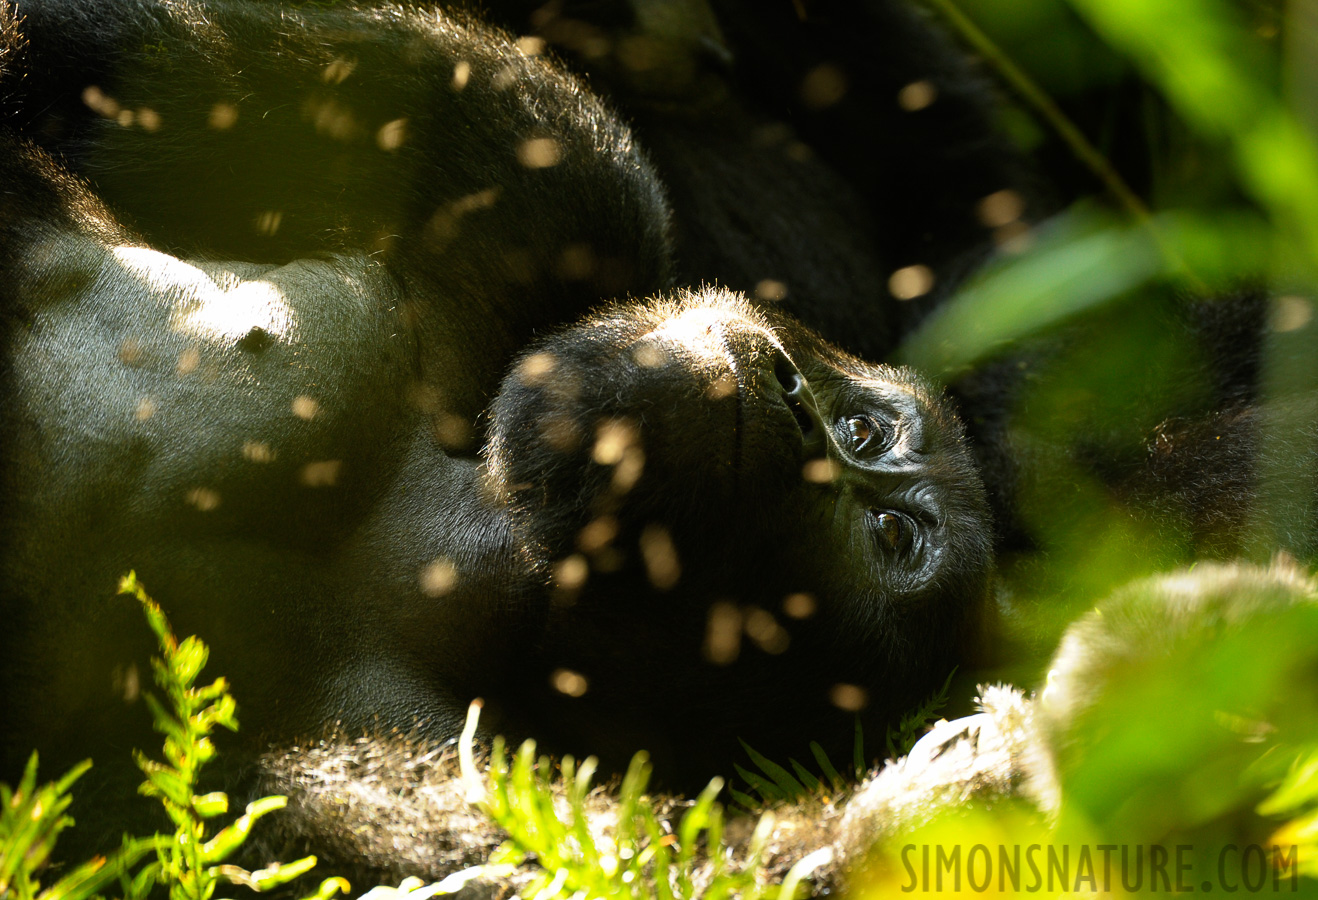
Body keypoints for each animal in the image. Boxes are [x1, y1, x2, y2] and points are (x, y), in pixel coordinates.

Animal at [0, 0, 996, 853]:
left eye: (891, 532)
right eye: (866, 432)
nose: (792, 397)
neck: (461, 529)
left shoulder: (470, 773)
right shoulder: (565, 196)